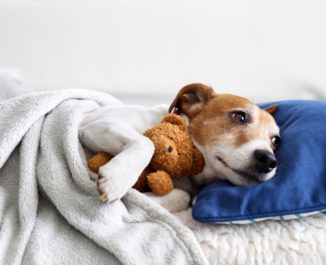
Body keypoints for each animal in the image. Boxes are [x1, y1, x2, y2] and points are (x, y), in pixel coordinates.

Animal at [78, 83, 280, 202]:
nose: (269, 161)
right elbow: (147, 143)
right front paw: (117, 179)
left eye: (275, 140)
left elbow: (182, 196)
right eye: (239, 116)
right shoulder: (95, 125)